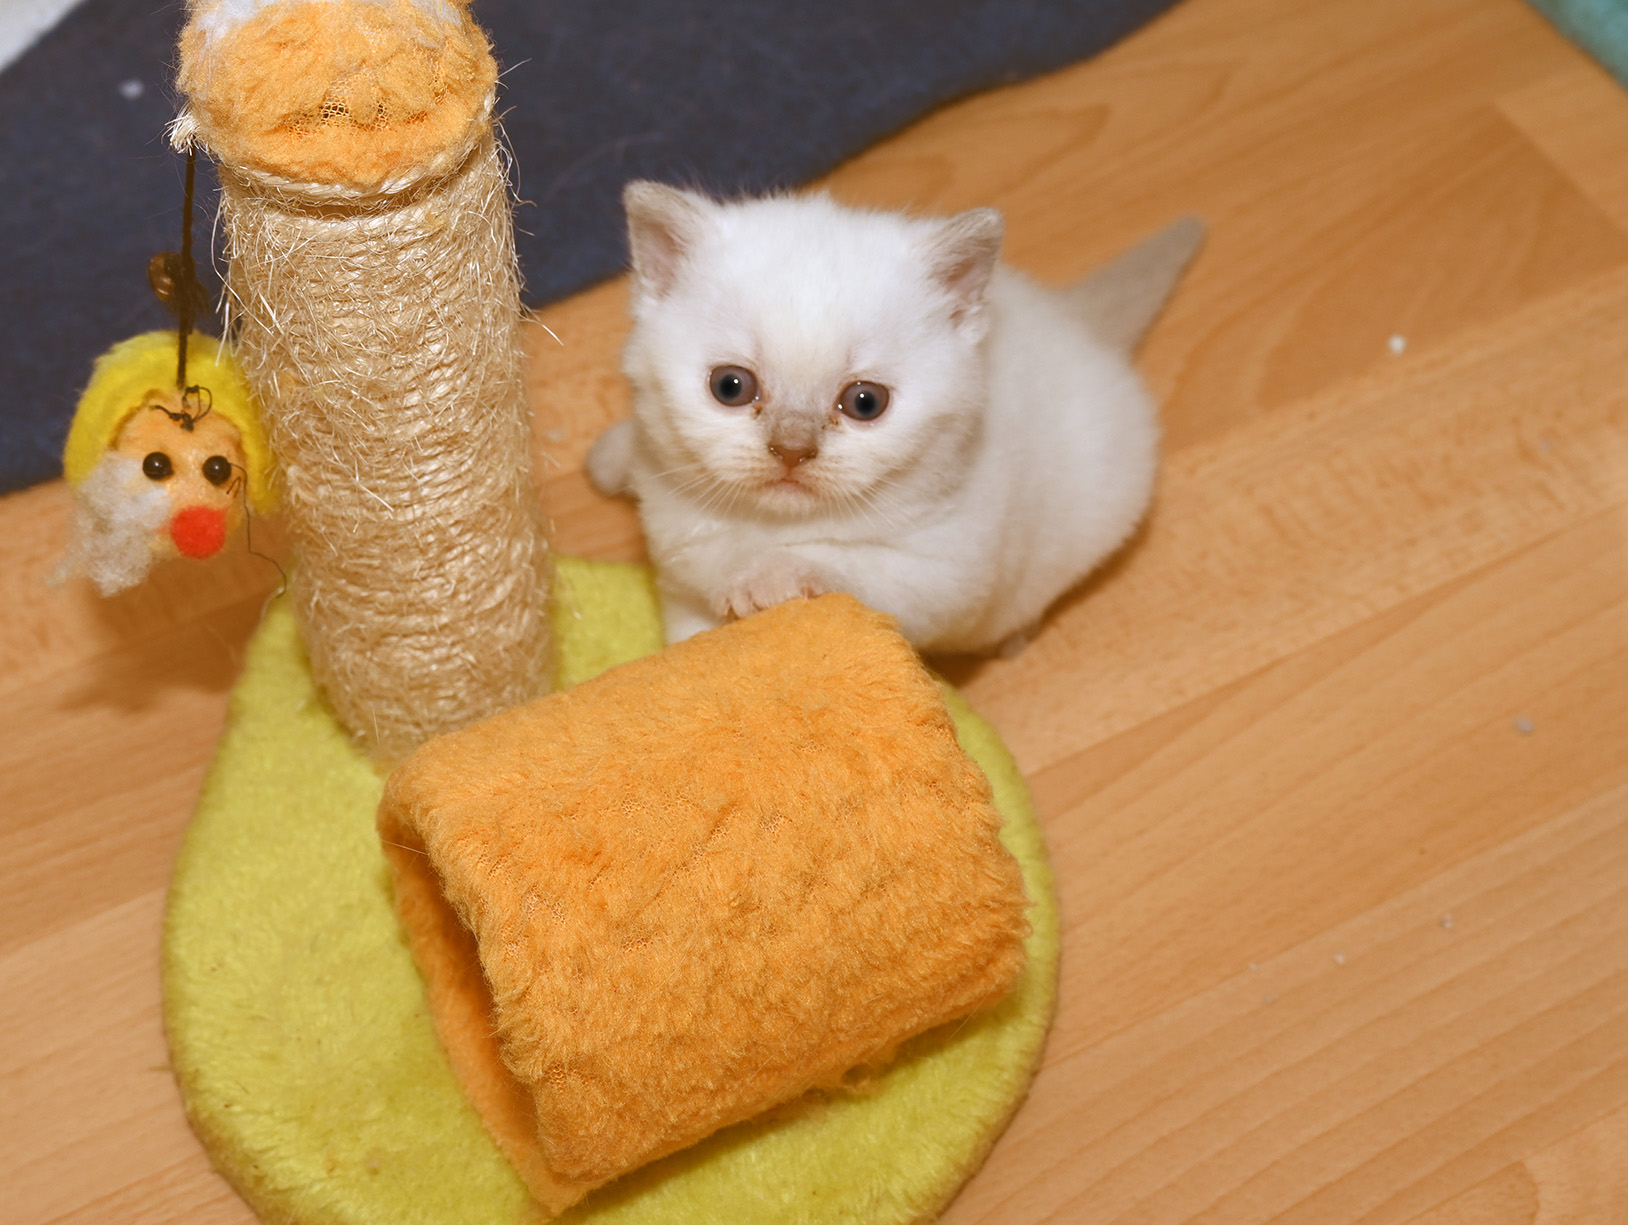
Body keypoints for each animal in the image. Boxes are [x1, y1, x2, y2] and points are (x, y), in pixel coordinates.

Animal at [587, 181, 1202, 654]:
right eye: (730, 387)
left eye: (865, 403)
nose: (792, 449)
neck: (771, 524)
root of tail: (1076, 317)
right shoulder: (677, 559)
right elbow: (696, 626)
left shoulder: (946, 572)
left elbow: (856, 573)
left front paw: (779, 577)